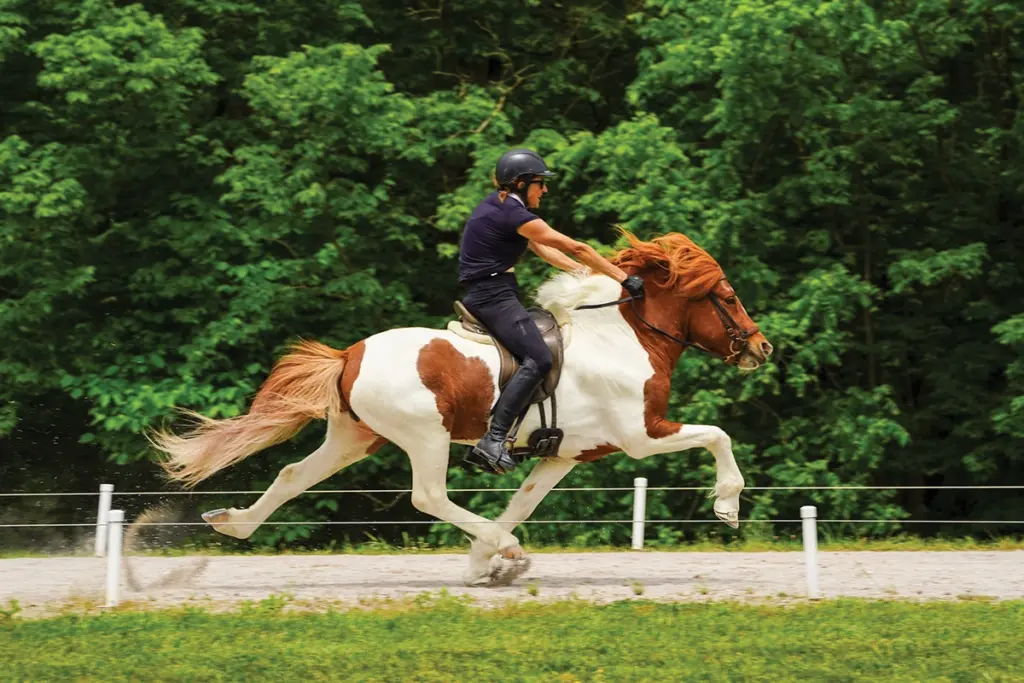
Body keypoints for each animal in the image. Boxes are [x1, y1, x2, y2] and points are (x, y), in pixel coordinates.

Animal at [150, 231, 774, 586]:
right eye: (728, 296)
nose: (762, 348)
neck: (622, 336)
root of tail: (349, 354)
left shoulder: (566, 455)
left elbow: (523, 502)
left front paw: (481, 562)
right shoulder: (643, 434)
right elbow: (718, 435)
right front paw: (727, 506)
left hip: (355, 438)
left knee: (292, 474)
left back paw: (232, 522)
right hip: (425, 435)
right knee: (427, 496)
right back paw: (508, 550)